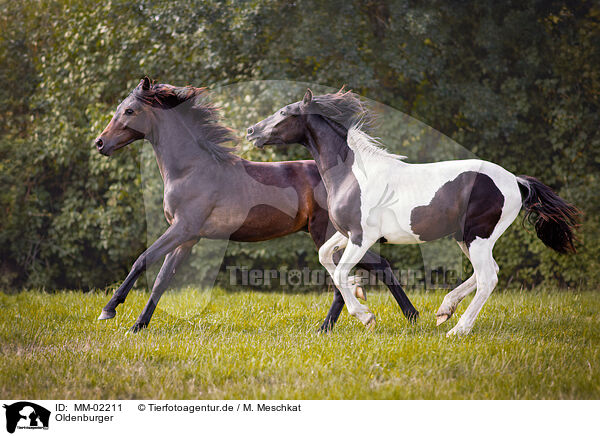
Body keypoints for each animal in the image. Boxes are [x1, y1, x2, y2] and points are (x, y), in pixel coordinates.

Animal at [92, 77, 418, 330]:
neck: (190, 169)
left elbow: (142, 259)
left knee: (354, 273)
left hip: (326, 232)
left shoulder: (183, 228)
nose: (99, 143)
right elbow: (161, 280)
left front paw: (108, 310)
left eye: (129, 110)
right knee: (367, 269)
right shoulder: (188, 238)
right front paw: (138, 325)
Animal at [246, 87, 580, 336]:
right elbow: (325, 257)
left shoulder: (362, 237)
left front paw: (366, 316)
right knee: (489, 272)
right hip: (465, 237)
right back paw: (444, 311)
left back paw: (457, 329)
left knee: (488, 278)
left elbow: (340, 271)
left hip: (478, 236)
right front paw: (360, 298)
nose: (251, 131)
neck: (354, 174)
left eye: (285, 113)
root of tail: (516, 181)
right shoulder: (345, 234)